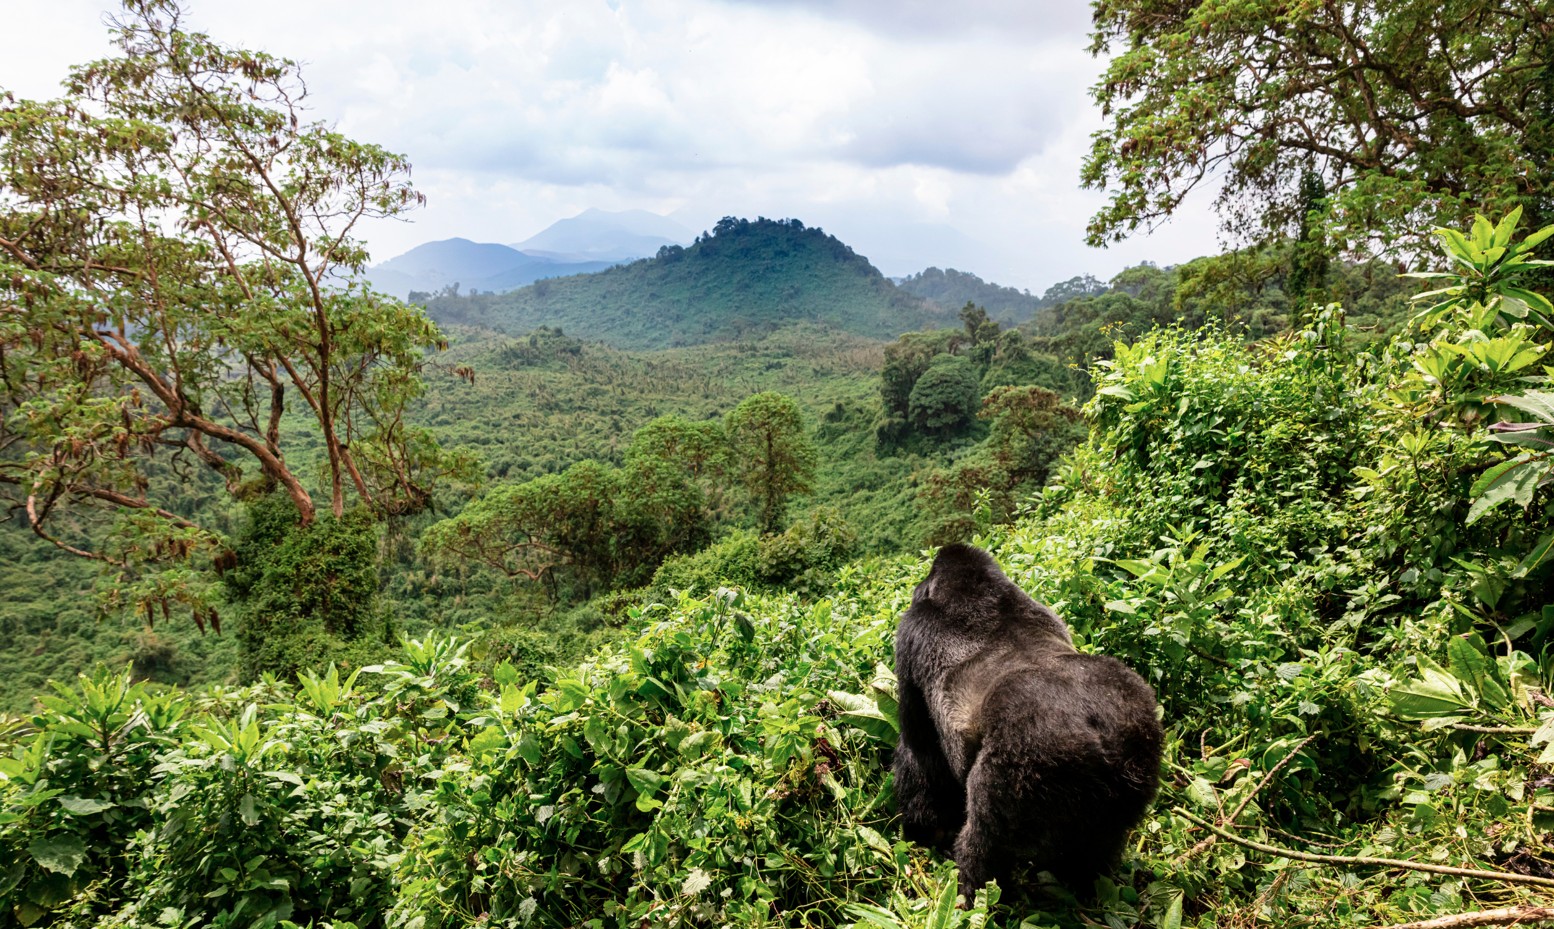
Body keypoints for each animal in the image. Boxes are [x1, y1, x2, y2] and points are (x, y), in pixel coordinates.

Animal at [892, 543, 1162, 892]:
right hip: (1139, 751)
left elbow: (919, 751)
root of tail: (1099, 737)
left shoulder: (910, 633)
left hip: (1023, 763)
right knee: (1097, 849)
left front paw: (924, 829)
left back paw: (973, 891)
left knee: (985, 846)